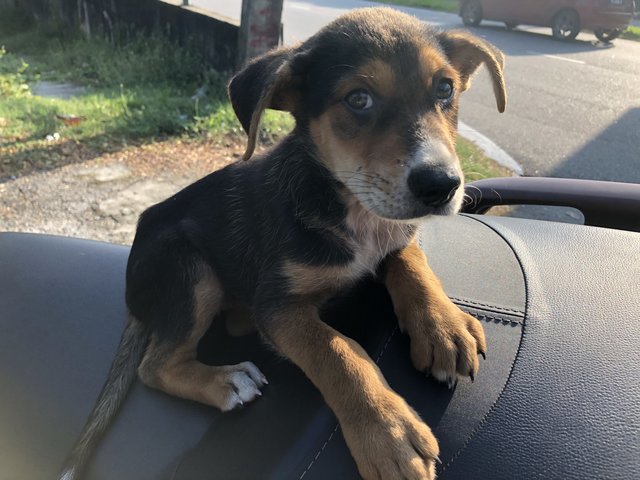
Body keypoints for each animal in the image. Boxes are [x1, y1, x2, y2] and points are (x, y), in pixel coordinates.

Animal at [61, 7, 504, 480]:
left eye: (445, 89)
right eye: (358, 99)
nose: (442, 186)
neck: (352, 208)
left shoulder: (394, 235)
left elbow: (411, 262)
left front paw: (443, 325)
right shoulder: (277, 305)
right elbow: (337, 352)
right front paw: (386, 431)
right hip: (189, 267)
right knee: (154, 367)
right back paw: (225, 381)